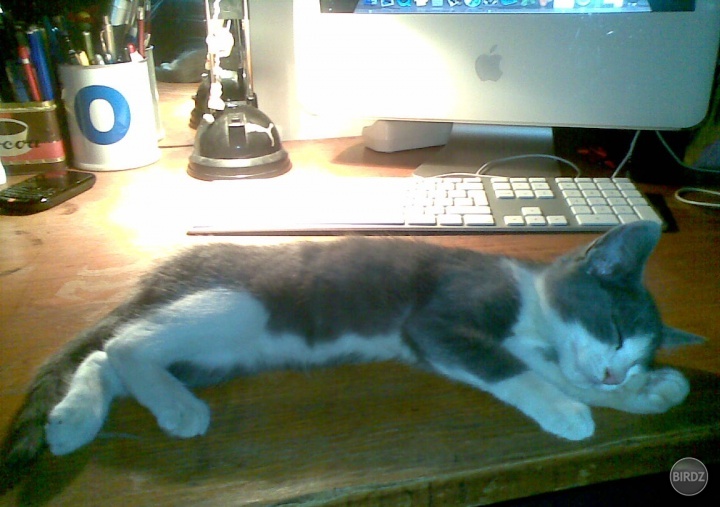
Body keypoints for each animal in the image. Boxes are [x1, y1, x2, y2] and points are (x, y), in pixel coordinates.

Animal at [0, 221, 703, 493]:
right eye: (614, 327)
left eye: (634, 355)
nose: (617, 370)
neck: (531, 305)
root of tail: (164, 272)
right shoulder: (436, 322)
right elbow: (520, 372)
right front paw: (569, 410)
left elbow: (551, 369)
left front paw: (648, 392)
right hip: (240, 304)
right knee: (124, 343)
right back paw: (175, 409)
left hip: (220, 353)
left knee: (105, 357)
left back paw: (73, 418)